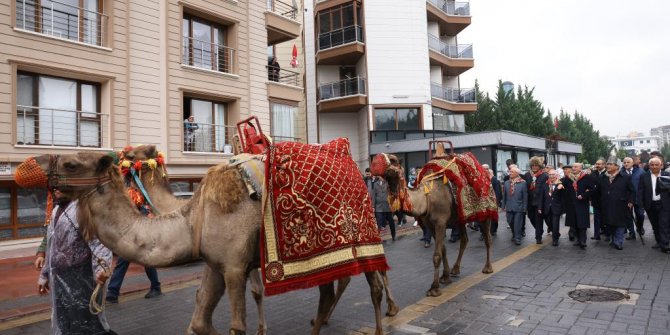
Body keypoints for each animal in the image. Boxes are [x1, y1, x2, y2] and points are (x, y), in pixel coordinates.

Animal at [21, 152, 392, 335]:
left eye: (71, 163)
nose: (28, 167)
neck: (191, 219)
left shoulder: (235, 266)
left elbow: (237, 325)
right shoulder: (215, 264)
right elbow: (199, 322)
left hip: (362, 233)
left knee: (373, 282)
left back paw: (380, 326)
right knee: (329, 289)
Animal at [380, 154, 496, 298]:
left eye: (396, 164)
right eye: (386, 176)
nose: (388, 167)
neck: (427, 199)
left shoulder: (440, 222)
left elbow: (436, 255)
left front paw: (434, 288)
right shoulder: (431, 225)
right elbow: (443, 249)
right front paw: (445, 277)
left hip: (486, 212)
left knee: (487, 239)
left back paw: (488, 268)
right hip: (460, 219)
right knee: (464, 239)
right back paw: (455, 269)